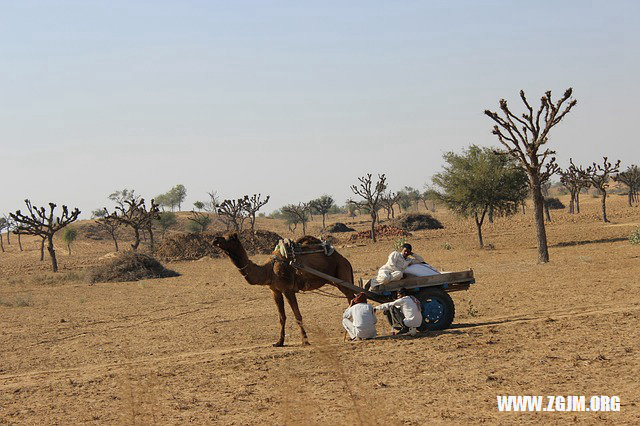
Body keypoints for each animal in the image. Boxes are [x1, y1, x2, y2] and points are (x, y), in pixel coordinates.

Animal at [214, 233, 356, 346]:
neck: (269, 270)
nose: (215, 239)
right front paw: (279, 342)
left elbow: (297, 315)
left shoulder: (288, 289)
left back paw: (352, 334)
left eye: (229, 238)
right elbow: (281, 317)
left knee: (352, 298)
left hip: (342, 275)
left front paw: (305, 341)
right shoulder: (275, 291)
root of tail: (346, 261)